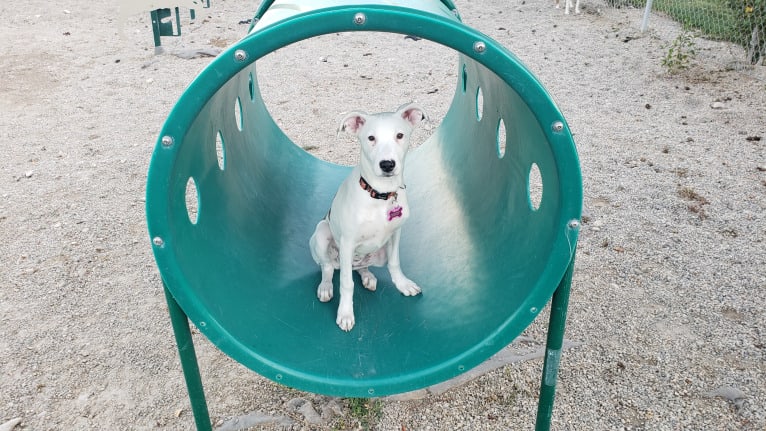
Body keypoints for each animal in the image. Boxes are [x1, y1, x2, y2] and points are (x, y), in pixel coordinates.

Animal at [310, 103, 428, 332]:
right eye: (371, 138)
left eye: (400, 135)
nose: (387, 164)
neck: (380, 194)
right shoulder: (347, 242)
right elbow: (346, 283)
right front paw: (345, 314)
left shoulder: (396, 233)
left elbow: (395, 263)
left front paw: (403, 284)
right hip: (321, 234)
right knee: (327, 267)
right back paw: (326, 287)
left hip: (375, 254)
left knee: (361, 267)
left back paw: (368, 277)